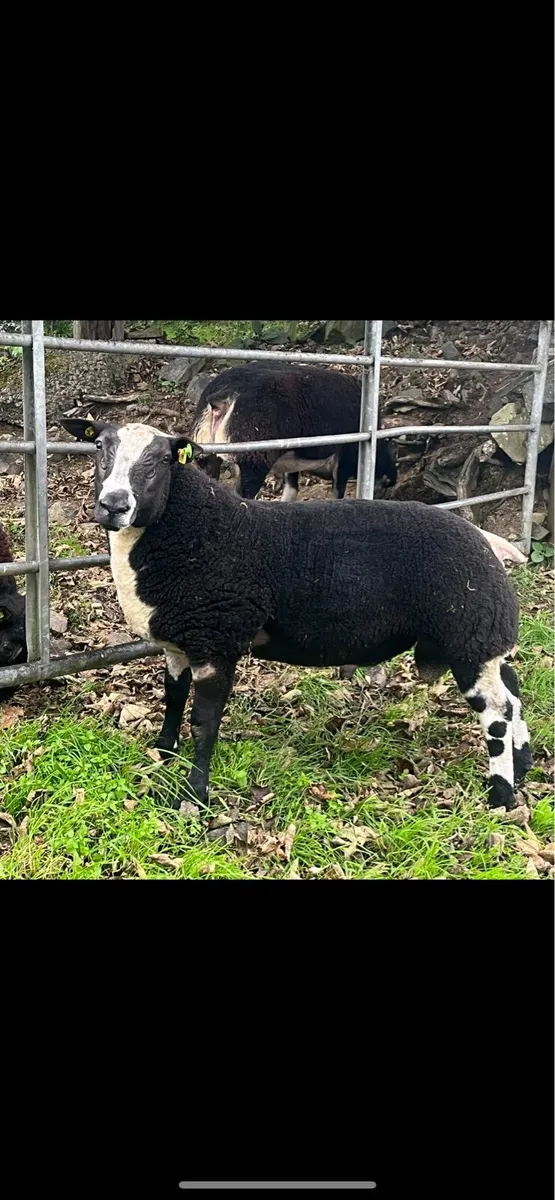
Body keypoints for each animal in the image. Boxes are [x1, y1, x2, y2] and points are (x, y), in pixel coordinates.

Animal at [62, 417, 533, 814]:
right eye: (99, 446)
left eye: (161, 459)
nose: (114, 504)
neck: (196, 530)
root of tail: (488, 543)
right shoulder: (180, 641)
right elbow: (173, 698)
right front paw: (162, 753)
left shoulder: (218, 640)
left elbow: (204, 723)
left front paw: (194, 795)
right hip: (485, 639)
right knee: (512, 692)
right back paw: (524, 762)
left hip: (469, 634)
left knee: (496, 713)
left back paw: (501, 795)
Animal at [192, 362, 397, 500]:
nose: (393, 479)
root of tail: (221, 395)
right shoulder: (345, 458)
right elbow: (337, 492)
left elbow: (291, 490)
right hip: (253, 459)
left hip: (207, 454)